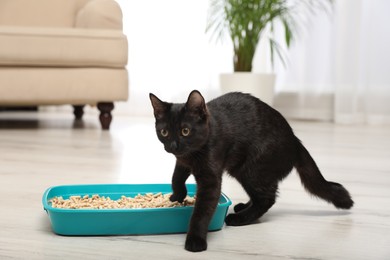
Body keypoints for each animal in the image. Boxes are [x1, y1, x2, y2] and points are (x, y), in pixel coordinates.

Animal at [149, 91, 354, 252]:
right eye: (164, 132)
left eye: (185, 131)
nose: (173, 146)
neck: (193, 154)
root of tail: (295, 141)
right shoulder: (183, 160)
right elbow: (176, 177)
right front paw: (177, 196)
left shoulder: (210, 179)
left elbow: (202, 211)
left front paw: (195, 240)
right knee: (262, 195)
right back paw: (243, 207)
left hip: (251, 169)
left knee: (267, 198)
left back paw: (239, 218)